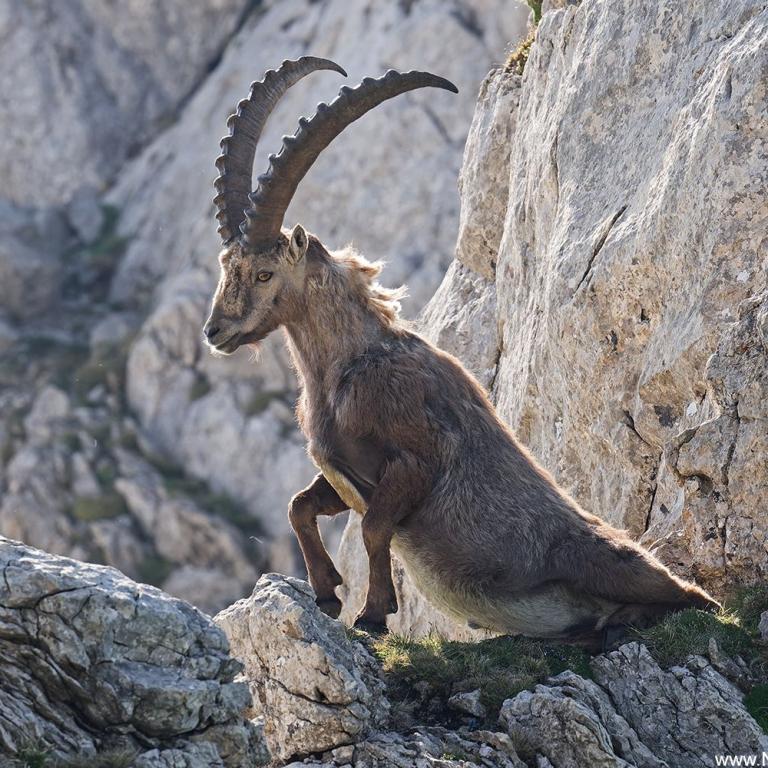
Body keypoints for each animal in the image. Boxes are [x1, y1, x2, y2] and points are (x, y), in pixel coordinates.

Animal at [204, 57, 719, 645]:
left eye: (264, 273)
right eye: (227, 268)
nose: (215, 332)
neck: (345, 370)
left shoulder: (417, 459)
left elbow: (376, 529)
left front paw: (373, 614)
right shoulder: (346, 473)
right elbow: (299, 507)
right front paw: (328, 592)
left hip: (612, 562)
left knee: (695, 601)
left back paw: (625, 619)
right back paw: (591, 628)